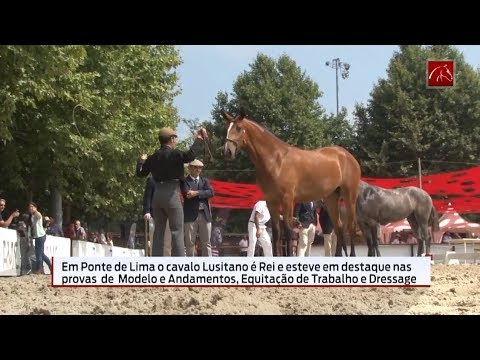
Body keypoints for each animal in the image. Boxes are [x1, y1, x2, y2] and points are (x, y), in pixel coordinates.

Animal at [223, 109, 362, 256]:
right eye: (228, 128)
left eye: (238, 128)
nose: (228, 151)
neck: (276, 160)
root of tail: (348, 156)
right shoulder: (271, 201)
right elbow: (277, 232)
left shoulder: (287, 199)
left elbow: (289, 229)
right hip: (331, 198)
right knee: (338, 226)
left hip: (349, 196)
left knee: (351, 226)